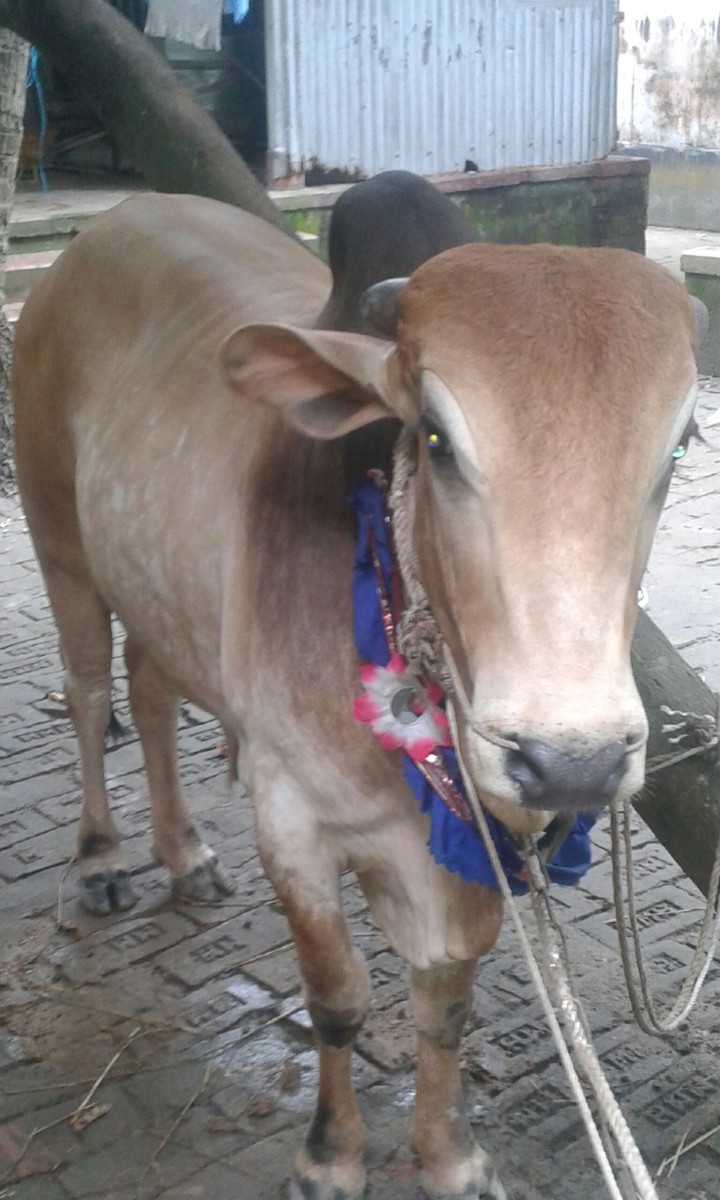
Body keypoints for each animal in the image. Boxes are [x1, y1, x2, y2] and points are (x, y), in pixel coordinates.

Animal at [11, 190, 699, 1200]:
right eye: (437, 439)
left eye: (679, 444)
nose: (571, 761)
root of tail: (116, 218)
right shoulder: (292, 818)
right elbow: (337, 1001)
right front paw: (330, 1156)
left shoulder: (470, 860)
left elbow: (444, 1008)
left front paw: (448, 1158)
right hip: (58, 535)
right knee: (93, 690)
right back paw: (102, 859)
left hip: (157, 585)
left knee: (151, 691)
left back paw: (184, 853)